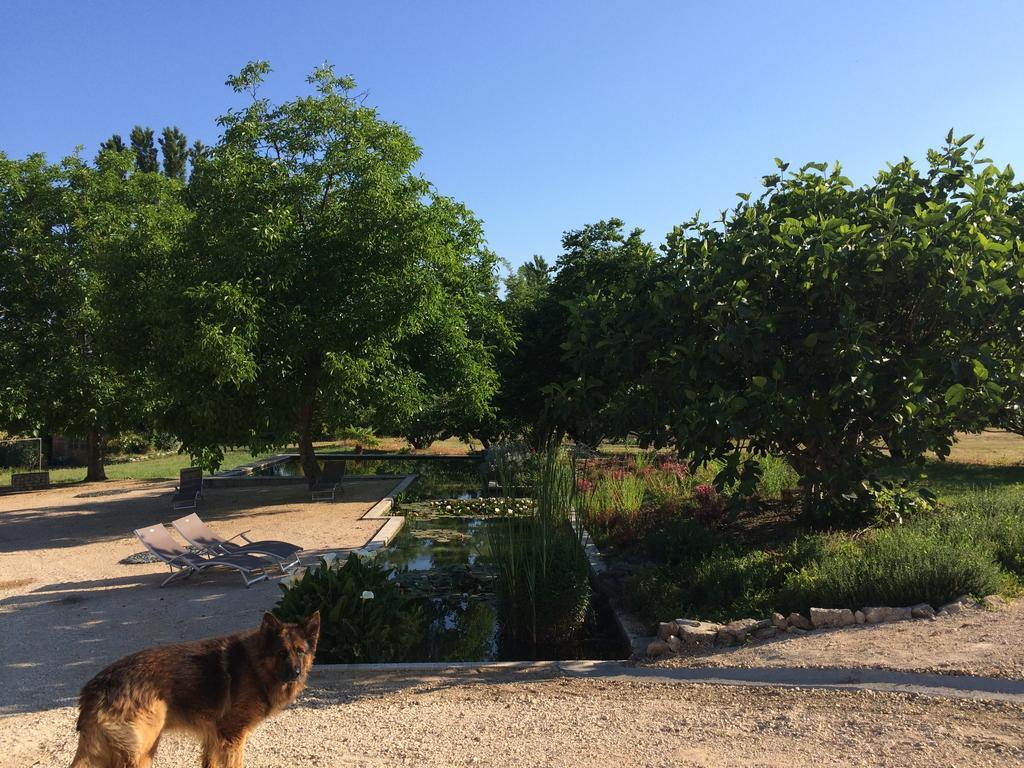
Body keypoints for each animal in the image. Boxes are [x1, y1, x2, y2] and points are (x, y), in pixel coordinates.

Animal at [70, 614, 317, 768]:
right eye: (281, 653)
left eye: (300, 651)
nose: (295, 673)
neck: (255, 665)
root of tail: (97, 685)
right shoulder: (233, 738)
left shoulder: (213, 738)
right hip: (142, 751)